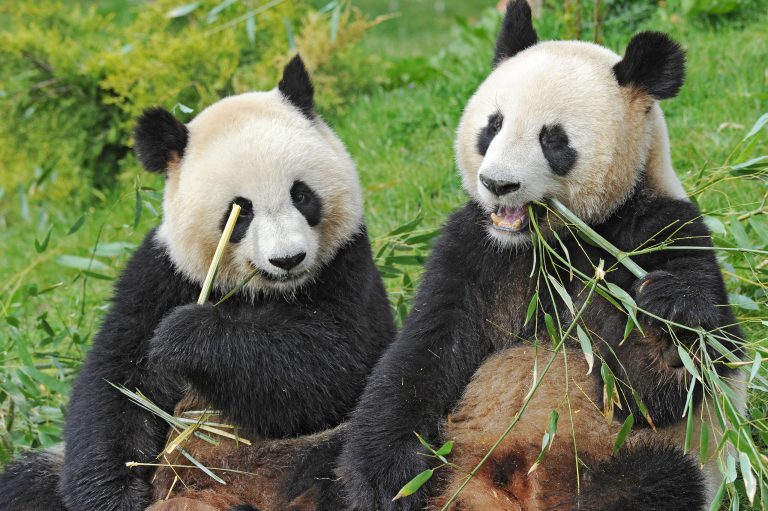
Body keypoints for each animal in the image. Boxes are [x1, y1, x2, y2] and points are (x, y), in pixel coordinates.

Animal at [0, 55, 395, 511]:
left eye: (301, 195)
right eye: (240, 210)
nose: (288, 259)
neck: (265, 291)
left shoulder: (348, 266)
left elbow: (337, 365)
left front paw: (185, 336)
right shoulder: (161, 274)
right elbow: (118, 381)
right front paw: (112, 494)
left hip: (313, 455)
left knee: (343, 466)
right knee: (25, 483)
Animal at [340, 2, 744, 510]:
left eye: (553, 140)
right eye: (492, 125)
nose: (497, 184)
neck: (550, 242)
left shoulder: (661, 230)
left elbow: (665, 391)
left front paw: (669, 331)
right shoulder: (472, 249)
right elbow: (420, 358)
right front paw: (385, 481)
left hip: (622, 459)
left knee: (656, 478)